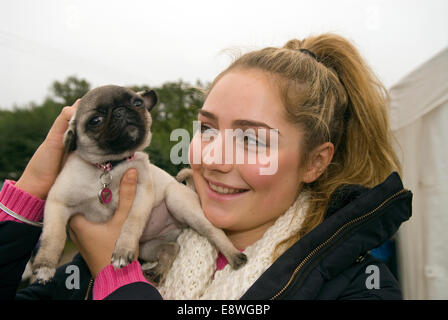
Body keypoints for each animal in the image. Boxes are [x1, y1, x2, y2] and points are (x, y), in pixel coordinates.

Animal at [32, 85, 247, 284]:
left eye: (137, 103)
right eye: (95, 121)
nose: (121, 111)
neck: (110, 166)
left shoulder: (141, 196)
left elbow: (131, 224)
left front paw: (122, 251)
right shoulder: (57, 204)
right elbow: (53, 236)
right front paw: (44, 265)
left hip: (179, 203)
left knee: (213, 231)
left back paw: (234, 257)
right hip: (147, 247)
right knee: (172, 248)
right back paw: (157, 272)